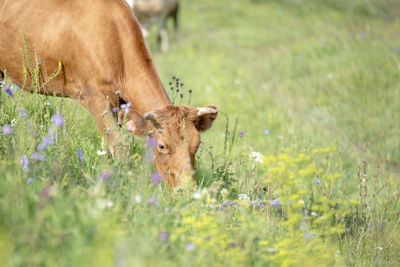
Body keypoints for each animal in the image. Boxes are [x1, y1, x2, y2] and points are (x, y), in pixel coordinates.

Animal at [0, 0, 219, 188]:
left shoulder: (118, 105)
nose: (186, 188)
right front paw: (123, 181)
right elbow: (118, 145)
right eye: (162, 146)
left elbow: (106, 145)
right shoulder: (95, 98)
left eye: (196, 144)